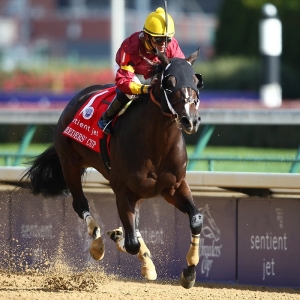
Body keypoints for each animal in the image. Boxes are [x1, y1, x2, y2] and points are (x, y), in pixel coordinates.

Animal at [20, 48, 204, 288]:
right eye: (169, 82)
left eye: (196, 81)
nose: (190, 120)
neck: (157, 145)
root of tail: (77, 98)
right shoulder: (123, 190)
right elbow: (131, 242)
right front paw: (119, 240)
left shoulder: (173, 187)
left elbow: (196, 220)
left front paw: (189, 273)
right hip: (69, 163)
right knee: (80, 204)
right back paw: (98, 245)